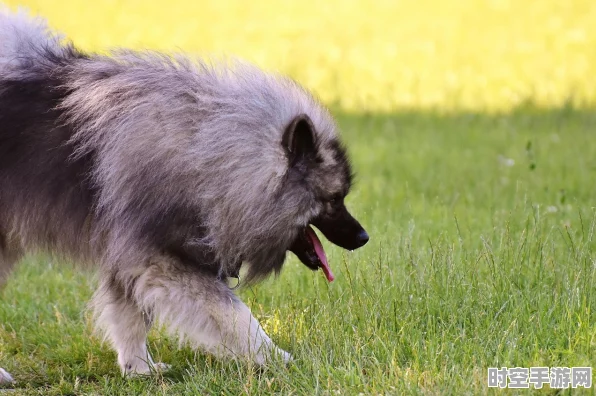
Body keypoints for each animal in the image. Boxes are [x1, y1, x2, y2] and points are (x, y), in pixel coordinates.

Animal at [0, 4, 368, 378]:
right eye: (334, 199)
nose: (363, 236)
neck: (209, 156)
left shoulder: (131, 255)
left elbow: (130, 318)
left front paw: (139, 368)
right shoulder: (161, 258)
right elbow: (236, 315)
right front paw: (277, 357)